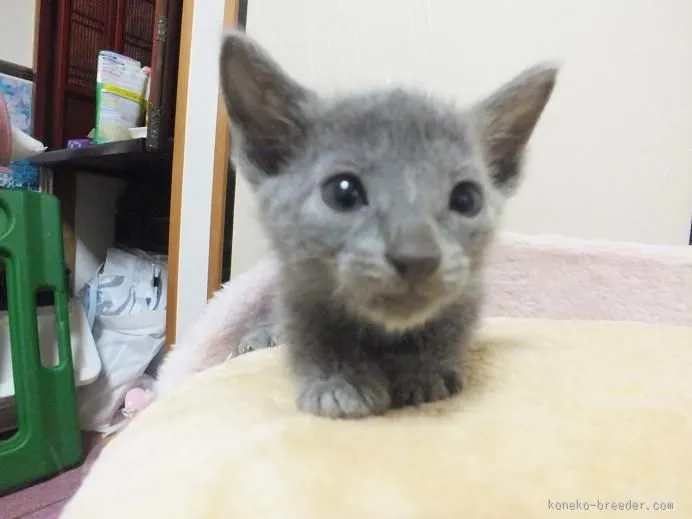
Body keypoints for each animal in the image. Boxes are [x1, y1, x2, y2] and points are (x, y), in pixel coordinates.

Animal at [219, 29, 560, 418]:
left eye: (466, 199)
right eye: (343, 193)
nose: (417, 257)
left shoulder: (468, 293)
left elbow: (449, 330)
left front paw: (424, 371)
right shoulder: (298, 293)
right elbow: (312, 339)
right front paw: (340, 384)